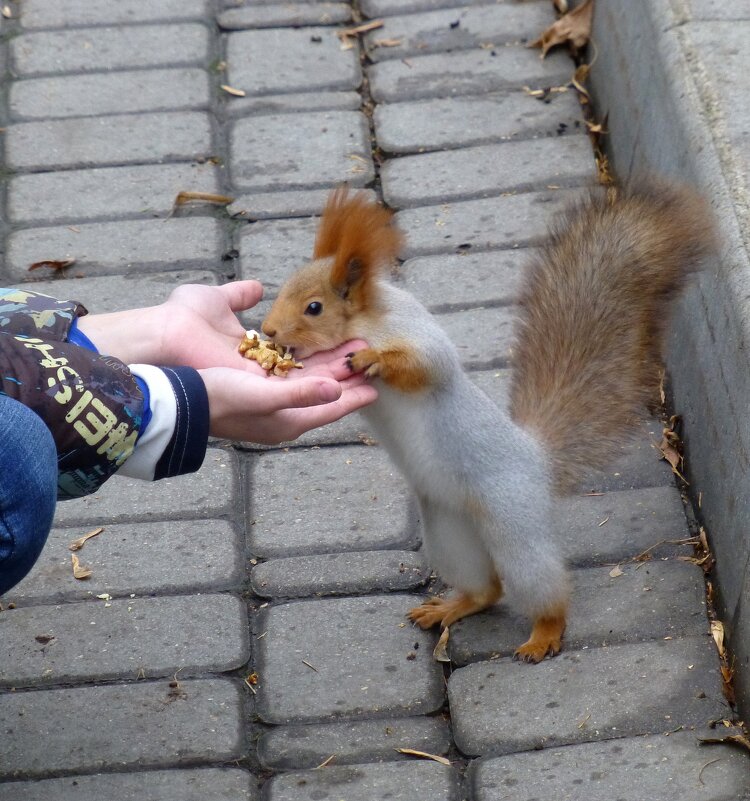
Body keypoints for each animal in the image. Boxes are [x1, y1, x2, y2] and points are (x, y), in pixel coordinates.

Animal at [262, 184, 716, 660]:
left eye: (314, 307)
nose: (269, 330)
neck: (366, 321)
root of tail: (537, 459)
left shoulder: (415, 335)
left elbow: (424, 367)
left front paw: (373, 360)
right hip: (449, 530)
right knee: (487, 589)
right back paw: (452, 607)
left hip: (512, 518)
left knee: (539, 585)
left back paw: (544, 633)